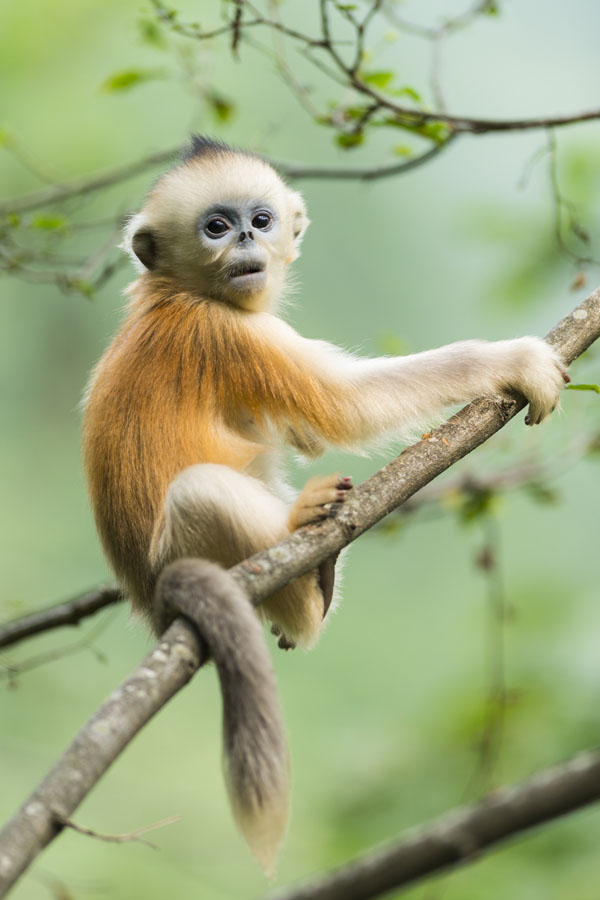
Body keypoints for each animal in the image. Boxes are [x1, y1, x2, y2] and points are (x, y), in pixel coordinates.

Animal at [82, 135, 569, 873]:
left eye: (260, 220)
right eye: (215, 227)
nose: (245, 245)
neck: (175, 293)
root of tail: (152, 597)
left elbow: (308, 431)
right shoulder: (226, 333)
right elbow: (344, 407)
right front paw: (517, 361)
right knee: (204, 493)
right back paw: (307, 573)